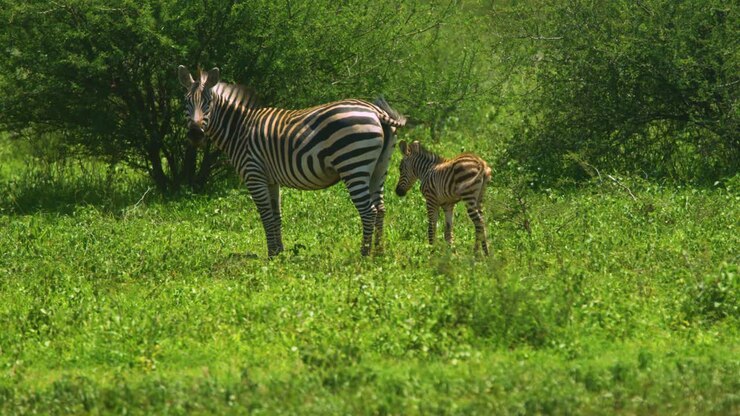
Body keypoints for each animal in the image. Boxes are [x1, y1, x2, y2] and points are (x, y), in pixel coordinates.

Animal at [177, 66, 406, 257]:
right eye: (186, 102)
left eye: (208, 103)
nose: (195, 134)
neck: (240, 129)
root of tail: (376, 111)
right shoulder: (271, 180)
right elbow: (276, 215)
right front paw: (279, 252)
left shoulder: (254, 175)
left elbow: (266, 216)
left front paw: (271, 255)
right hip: (379, 168)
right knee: (381, 209)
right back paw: (379, 252)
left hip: (353, 164)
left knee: (368, 211)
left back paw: (364, 254)